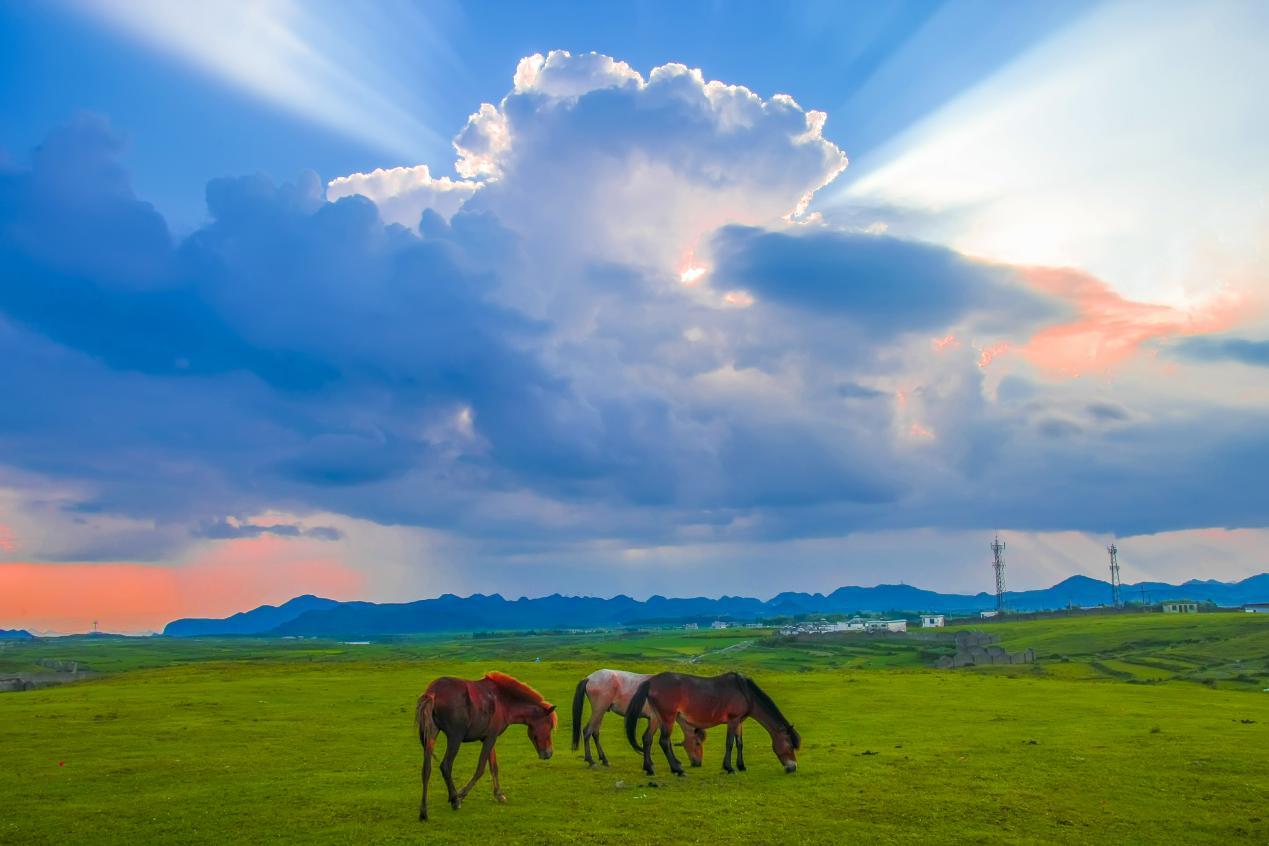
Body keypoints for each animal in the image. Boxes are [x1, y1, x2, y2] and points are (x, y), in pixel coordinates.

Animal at [416, 669, 555, 821]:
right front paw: (461, 794)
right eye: (550, 726)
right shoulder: (490, 738)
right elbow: (481, 768)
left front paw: (499, 794)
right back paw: (454, 799)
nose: (549, 753)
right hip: (455, 738)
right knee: (445, 766)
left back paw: (423, 811)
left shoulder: (489, 738)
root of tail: (433, 692)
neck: (503, 700)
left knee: (426, 770)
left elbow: (494, 767)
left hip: (431, 736)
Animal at [573, 669, 710, 771]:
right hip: (598, 710)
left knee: (595, 733)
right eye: (698, 742)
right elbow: (650, 739)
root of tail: (590, 678)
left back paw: (604, 760)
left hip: (601, 712)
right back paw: (591, 761)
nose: (698, 763)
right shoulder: (655, 720)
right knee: (587, 731)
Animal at [626, 669, 802, 776]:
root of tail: (651, 681)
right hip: (668, 717)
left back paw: (649, 768)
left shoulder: (739, 721)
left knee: (647, 739)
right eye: (790, 745)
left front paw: (741, 766)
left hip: (656, 717)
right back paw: (677, 769)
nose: (792, 767)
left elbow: (740, 743)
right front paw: (729, 767)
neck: (745, 692)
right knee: (663, 741)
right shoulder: (733, 720)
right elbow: (730, 743)